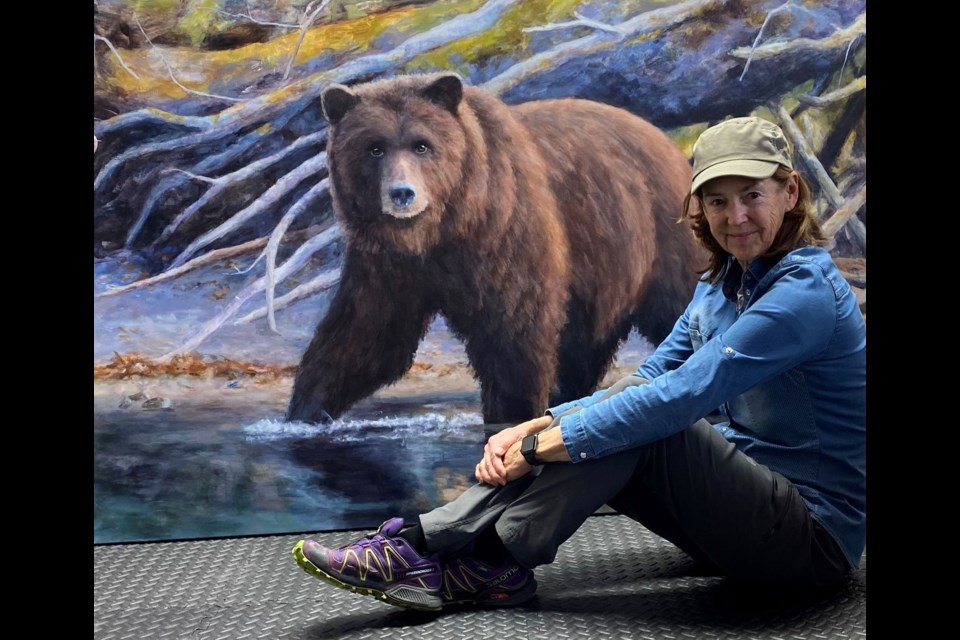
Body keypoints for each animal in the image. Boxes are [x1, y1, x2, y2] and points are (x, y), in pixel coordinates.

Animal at [284, 71, 696, 424]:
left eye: (422, 145)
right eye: (374, 148)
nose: (402, 194)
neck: (444, 230)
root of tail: (668, 144)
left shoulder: (506, 232)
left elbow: (514, 330)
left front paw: (509, 414)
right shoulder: (389, 265)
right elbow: (366, 334)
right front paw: (304, 410)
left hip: (656, 235)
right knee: (583, 345)